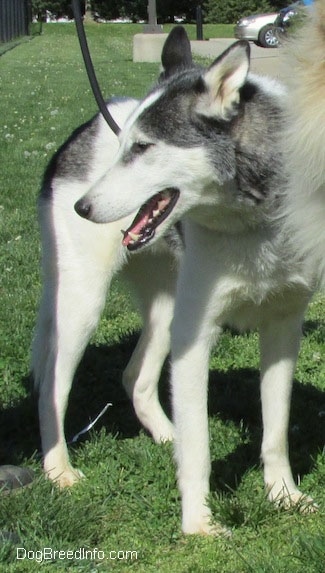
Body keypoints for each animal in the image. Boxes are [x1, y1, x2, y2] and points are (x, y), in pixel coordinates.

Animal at [33, 21, 316, 532]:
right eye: (124, 146)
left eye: (143, 147)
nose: (82, 207)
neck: (255, 220)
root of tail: (81, 132)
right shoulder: (195, 336)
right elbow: (200, 445)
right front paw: (198, 525)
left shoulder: (285, 328)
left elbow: (276, 430)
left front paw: (284, 495)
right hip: (81, 306)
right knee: (51, 388)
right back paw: (58, 469)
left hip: (167, 307)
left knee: (136, 379)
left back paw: (167, 437)